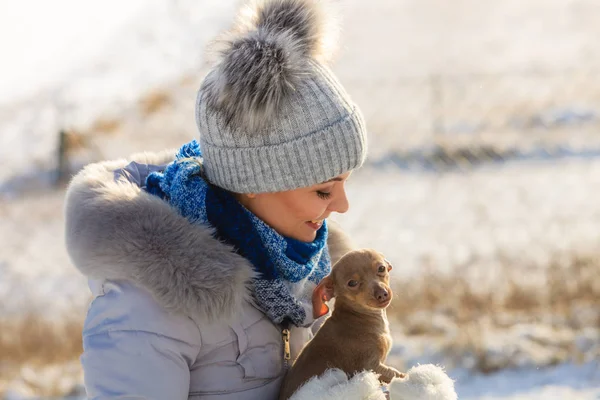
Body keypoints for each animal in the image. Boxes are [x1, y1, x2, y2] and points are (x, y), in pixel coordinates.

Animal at [280, 248, 404, 398]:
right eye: (352, 283)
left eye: (381, 268)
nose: (382, 294)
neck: (357, 316)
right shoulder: (370, 366)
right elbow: (395, 374)